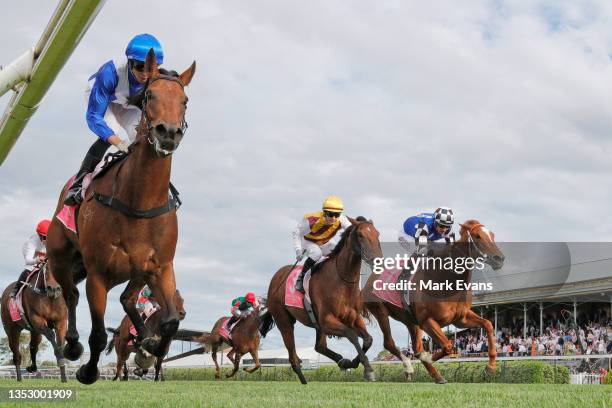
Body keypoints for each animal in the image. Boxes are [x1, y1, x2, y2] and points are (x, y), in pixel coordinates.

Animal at [47, 49, 196, 384]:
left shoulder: (161, 267)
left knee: (127, 299)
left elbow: (169, 322)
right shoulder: (98, 276)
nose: (168, 132)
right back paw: (72, 344)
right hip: (60, 256)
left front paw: (150, 345)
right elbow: (98, 335)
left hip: (137, 271)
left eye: (184, 100)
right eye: (151, 95)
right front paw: (88, 370)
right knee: (70, 294)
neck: (139, 200)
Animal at [260, 218, 382, 384]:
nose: (378, 259)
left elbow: (368, 339)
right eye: (361, 235)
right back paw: (303, 380)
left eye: (377, 234)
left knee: (319, 346)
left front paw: (352, 362)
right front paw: (368, 369)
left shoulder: (353, 318)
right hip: (284, 322)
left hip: (316, 324)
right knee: (293, 355)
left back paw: (341, 361)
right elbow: (351, 334)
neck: (342, 281)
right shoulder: (327, 320)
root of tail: (276, 279)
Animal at [360, 220, 504, 382]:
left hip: (411, 320)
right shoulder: (427, 320)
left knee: (416, 347)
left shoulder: (460, 318)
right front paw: (429, 357)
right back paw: (412, 368)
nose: (499, 258)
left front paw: (491, 367)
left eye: (492, 235)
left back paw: (434, 375)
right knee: (390, 343)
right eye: (477, 236)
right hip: (381, 312)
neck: (445, 279)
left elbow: (488, 324)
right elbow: (448, 346)